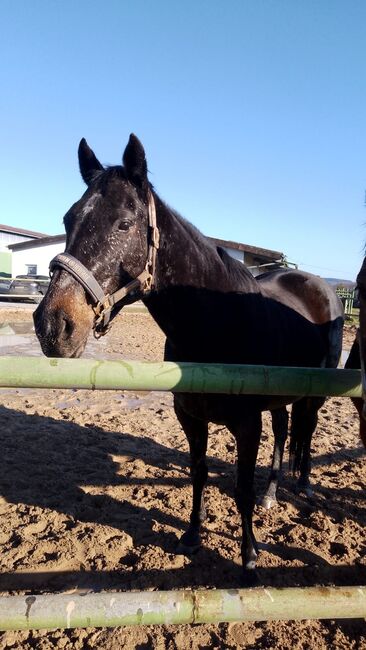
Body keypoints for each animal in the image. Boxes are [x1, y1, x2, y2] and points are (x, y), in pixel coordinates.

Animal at [33, 133, 344, 584]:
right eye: (68, 219)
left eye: (123, 224)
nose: (53, 325)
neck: (218, 324)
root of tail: (320, 286)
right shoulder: (190, 418)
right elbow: (198, 474)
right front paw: (193, 536)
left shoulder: (246, 425)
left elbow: (241, 489)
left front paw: (249, 558)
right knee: (284, 433)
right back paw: (272, 493)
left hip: (314, 393)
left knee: (307, 429)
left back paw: (302, 485)